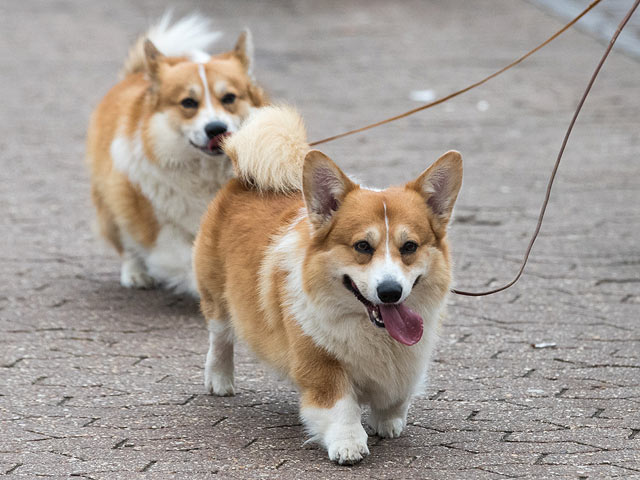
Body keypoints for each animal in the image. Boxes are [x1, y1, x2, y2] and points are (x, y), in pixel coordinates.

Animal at [86, 13, 266, 294]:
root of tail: (136, 75)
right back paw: (135, 273)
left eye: (229, 98)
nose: (216, 128)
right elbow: (185, 258)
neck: (204, 172)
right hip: (114, 201)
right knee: (126, 243)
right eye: (188, 103)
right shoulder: (159, 229)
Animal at [192, 106, 462, 464]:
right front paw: (348, 444)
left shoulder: (411, 357)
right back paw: (220, 380)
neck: (369, 329)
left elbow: (398, 392)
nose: (390, 292)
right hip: (217, 297)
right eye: (362, 246)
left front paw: (388, 421)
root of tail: (242, 178)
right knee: (220, 337)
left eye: (409, 247)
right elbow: (340, 406)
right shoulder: (319, 362)